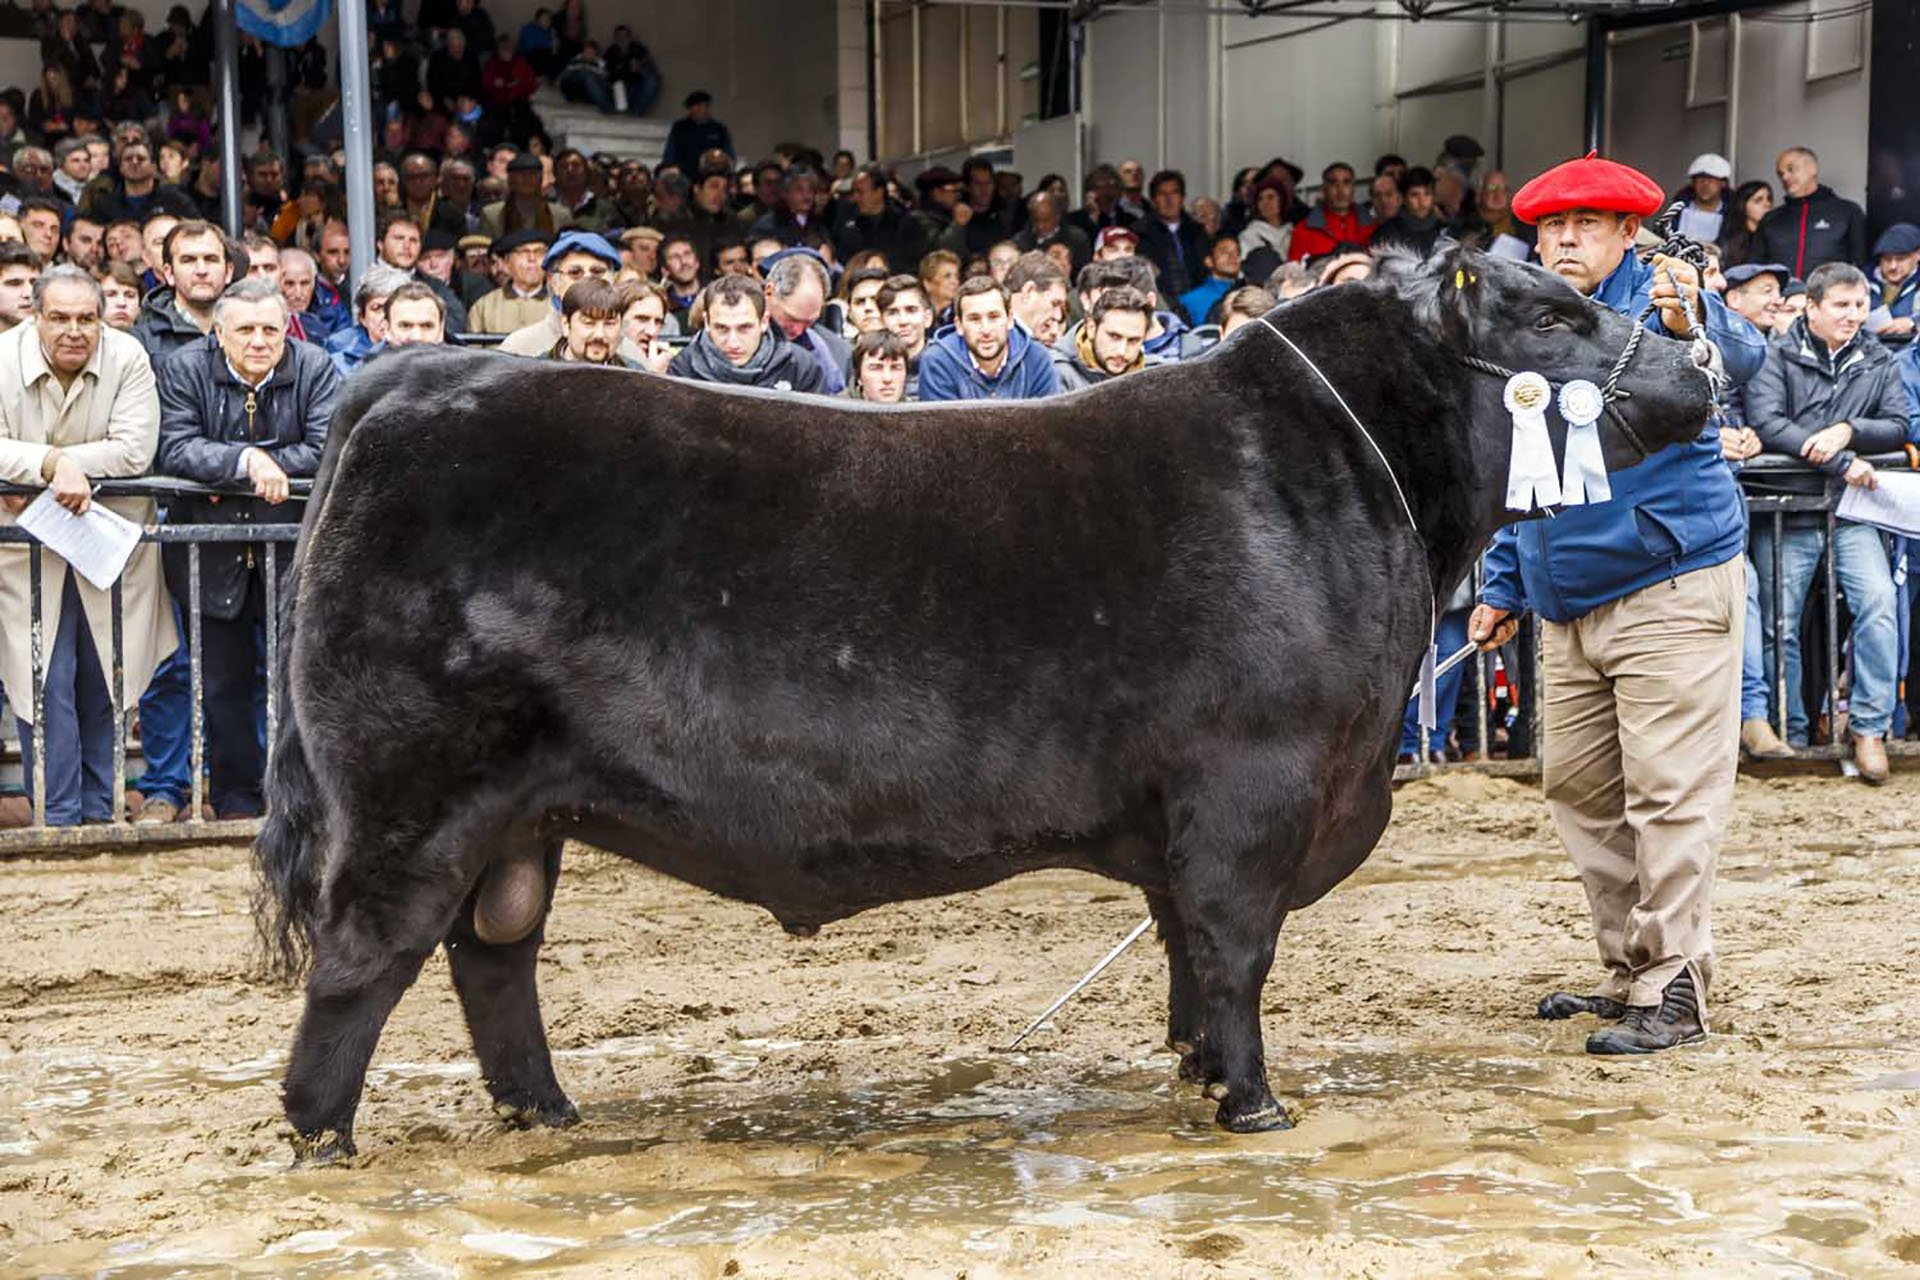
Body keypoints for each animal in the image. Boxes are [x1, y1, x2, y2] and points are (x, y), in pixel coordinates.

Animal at [251, 245, 1712, 1159]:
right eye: (1555, 318)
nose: (1699, 370)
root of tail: (417, 376)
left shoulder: (1195, 815)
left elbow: (1185, 952)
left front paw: (1196, 1075)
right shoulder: (1254, 783)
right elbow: (1235, 949)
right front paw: (1251, 1104)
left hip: (517, 813)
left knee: (493, 952)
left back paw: (545, 1114)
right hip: (412, 790)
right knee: (366, 956)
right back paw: (322, 1136)